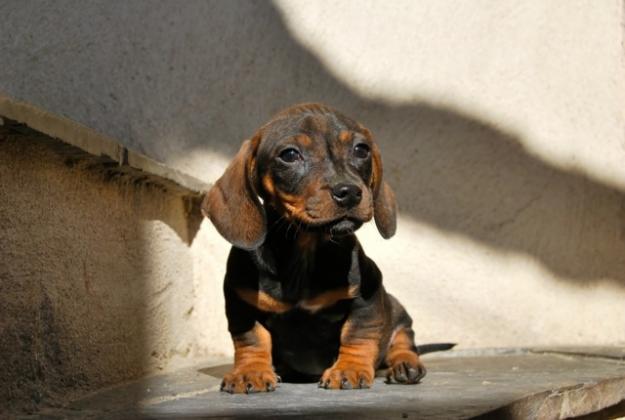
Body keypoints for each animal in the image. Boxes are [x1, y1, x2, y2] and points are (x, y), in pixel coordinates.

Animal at [200, 103, 448, 392]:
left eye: (361, 149)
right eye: (289, 154)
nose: (349, 192)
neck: (305, 248)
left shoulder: (367, 296)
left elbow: (357, 334)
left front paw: (349, 369)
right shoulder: (240, 302)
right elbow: (251, 339)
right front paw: (250, 372)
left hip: (399, 313)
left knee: (404, 342)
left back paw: (405, 366)